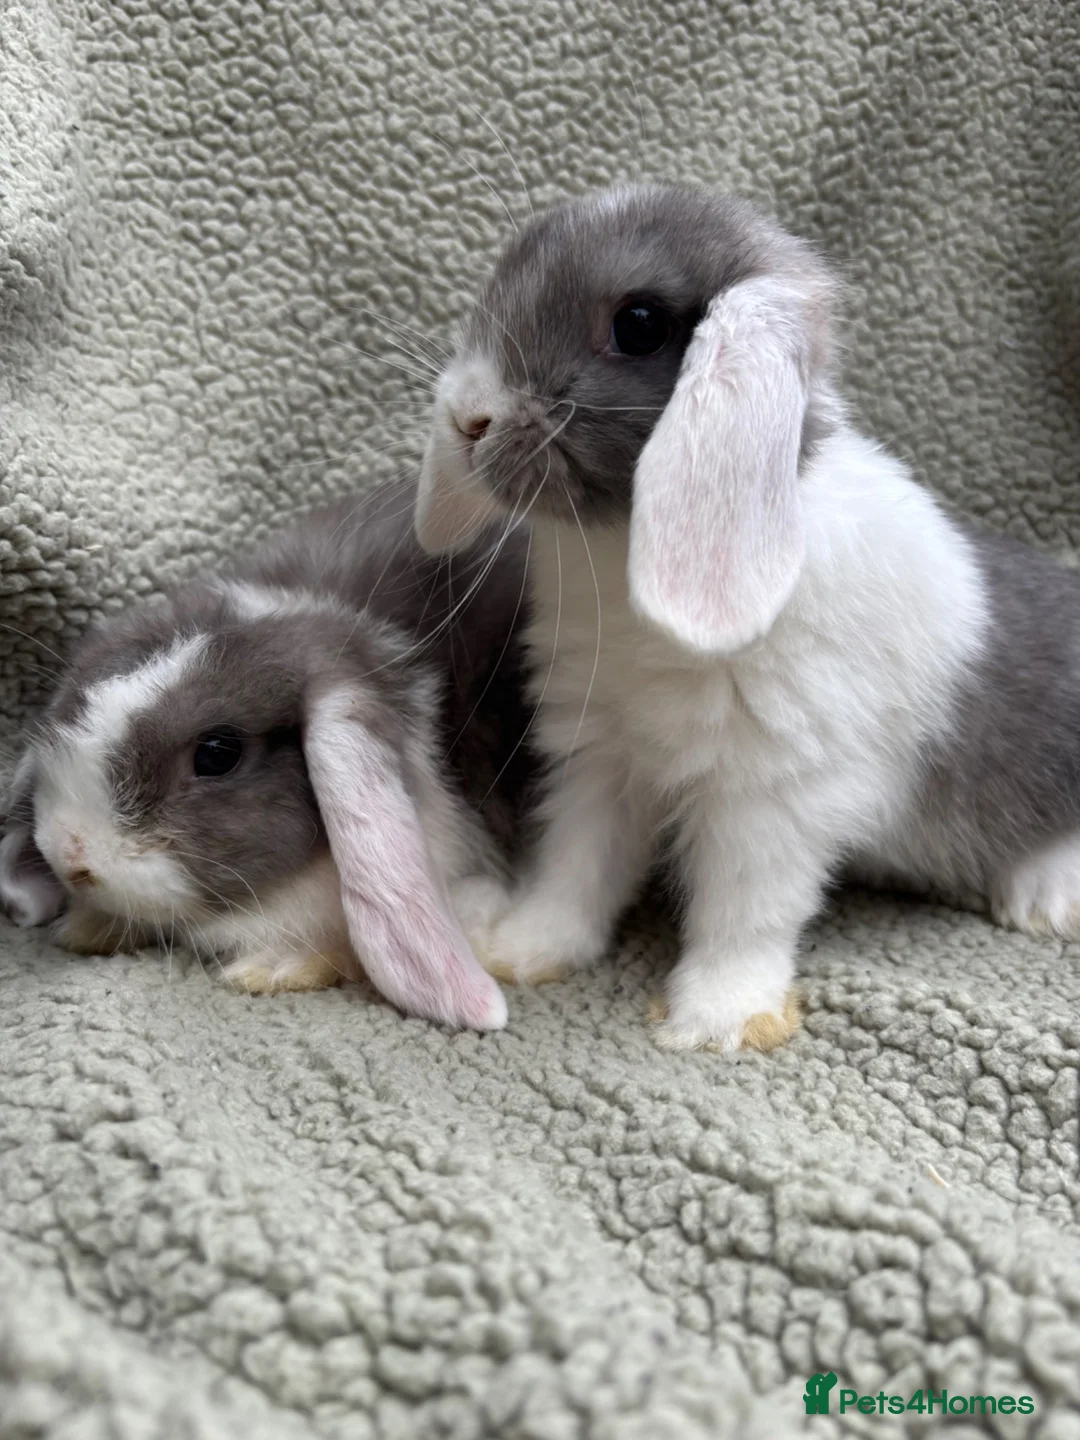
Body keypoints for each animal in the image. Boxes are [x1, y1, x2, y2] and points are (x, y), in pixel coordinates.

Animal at [413, 180, 1080, 1053]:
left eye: (639, 324)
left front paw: (717, 1021)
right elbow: (578, 868)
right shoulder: (599, 760)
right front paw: (523, 951)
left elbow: (743, 910)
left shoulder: (772, 797)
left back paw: (1048, 897)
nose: (469, 418)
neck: (616, 556)